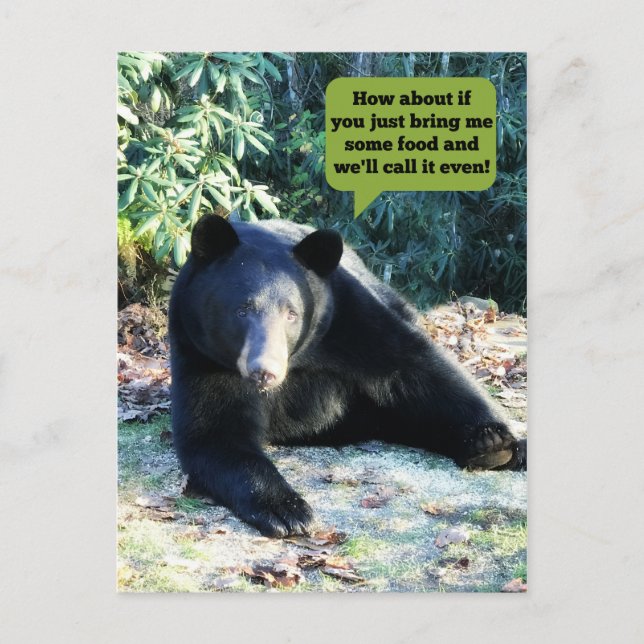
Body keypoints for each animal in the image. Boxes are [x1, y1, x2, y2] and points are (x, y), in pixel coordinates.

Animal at [169, 214, 526, 537]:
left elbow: (419, 368)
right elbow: (214, 432)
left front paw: (493, 436)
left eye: (291, 313)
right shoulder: (198, 351)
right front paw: (286, 509)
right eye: (242, 310)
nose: (264, 372)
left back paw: (498, 448)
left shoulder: (347, 317)